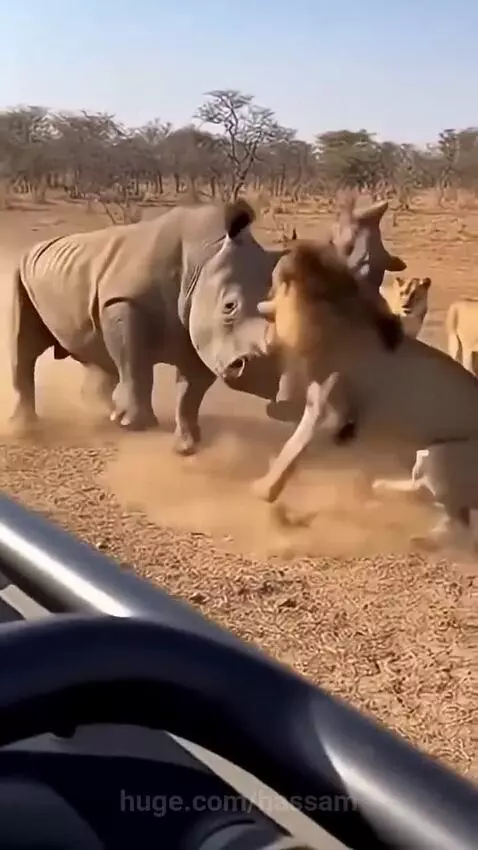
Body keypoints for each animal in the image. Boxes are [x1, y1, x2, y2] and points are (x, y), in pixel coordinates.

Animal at [9, 197, 405, 454]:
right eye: (229, 307)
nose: (258, 377)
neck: (203, 258)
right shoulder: (123, 302)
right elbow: (137, 366)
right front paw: (135, 426)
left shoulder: (200, 332)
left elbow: (191, 391)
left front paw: (187, 444)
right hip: (22, 268)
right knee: (24, 347)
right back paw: (26, 428)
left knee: (98, 356)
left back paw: (97, 410)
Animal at [252, 241, 478, 550]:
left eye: (275, 281)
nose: (263, 297)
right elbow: (294, 446)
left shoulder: (330, 413)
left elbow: (294, 446)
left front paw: (265, 489)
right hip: (431, 460)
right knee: (444, 509)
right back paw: (389, 498)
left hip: (441, 455)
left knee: (447, 513)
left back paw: (405, 521)